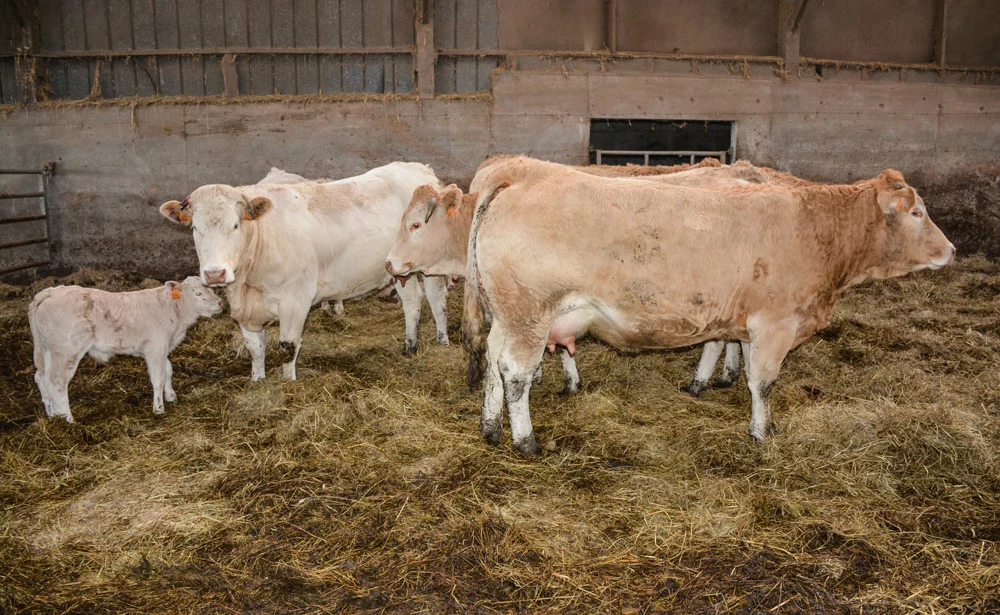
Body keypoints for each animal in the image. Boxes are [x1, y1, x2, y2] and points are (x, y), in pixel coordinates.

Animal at [464, 159, 956, 458]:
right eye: (917, 212)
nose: (952, 250)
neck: (815, 227)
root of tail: (517, 177)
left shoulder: (742, 317)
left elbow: (732, 354)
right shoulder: (775, 324)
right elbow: (763, 382)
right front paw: (761, 432)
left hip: (508, 314)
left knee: (492, 358)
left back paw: (490, 429)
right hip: (529, 314)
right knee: (515, 373)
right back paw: (525, 440)